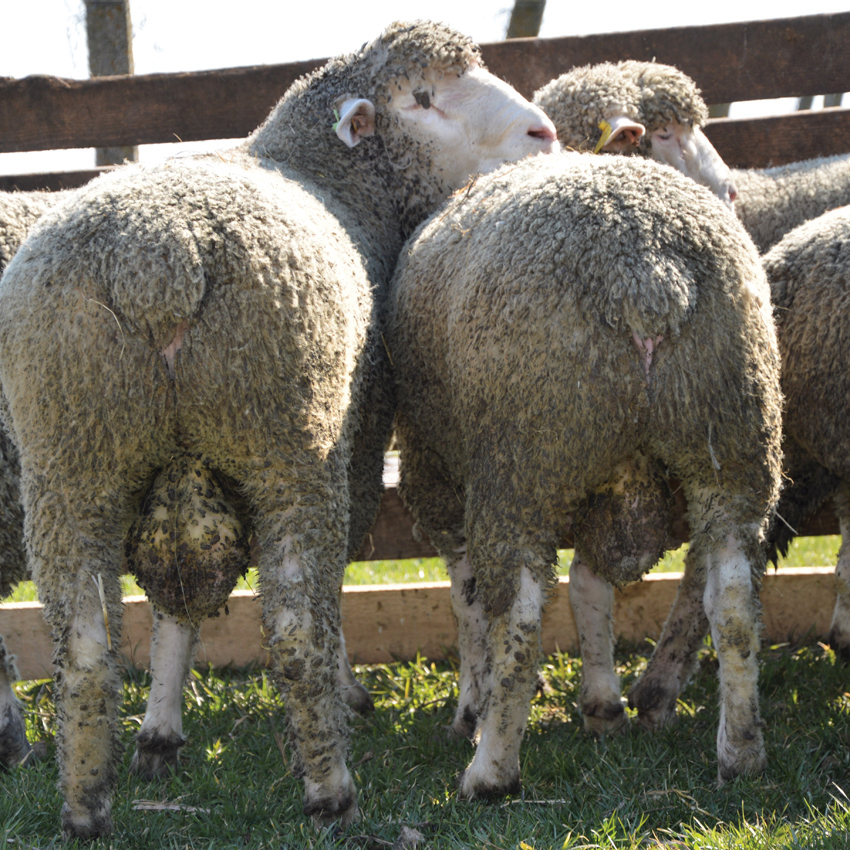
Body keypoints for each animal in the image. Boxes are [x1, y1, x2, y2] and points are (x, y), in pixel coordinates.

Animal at [0, 23, 556, 840]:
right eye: (422, 99)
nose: (544, 134)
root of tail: (158, 258)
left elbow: (176, 603)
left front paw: (160, 730)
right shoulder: (359, 441)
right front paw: (350, 691)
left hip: (69, 450)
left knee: (85, 644)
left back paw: (84, 806)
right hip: (288, 435)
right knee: (296, 623)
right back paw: (332, 790)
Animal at [388, 151, 780, 796]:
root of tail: (650, 276)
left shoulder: (436, 472)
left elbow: (469, 604)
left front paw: (471, 708)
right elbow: (590, 582)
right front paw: (602, 704)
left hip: (522, 454)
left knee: (519, 615)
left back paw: (491, 770)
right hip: (731, 436)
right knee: (732, 599)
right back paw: (741, 752)